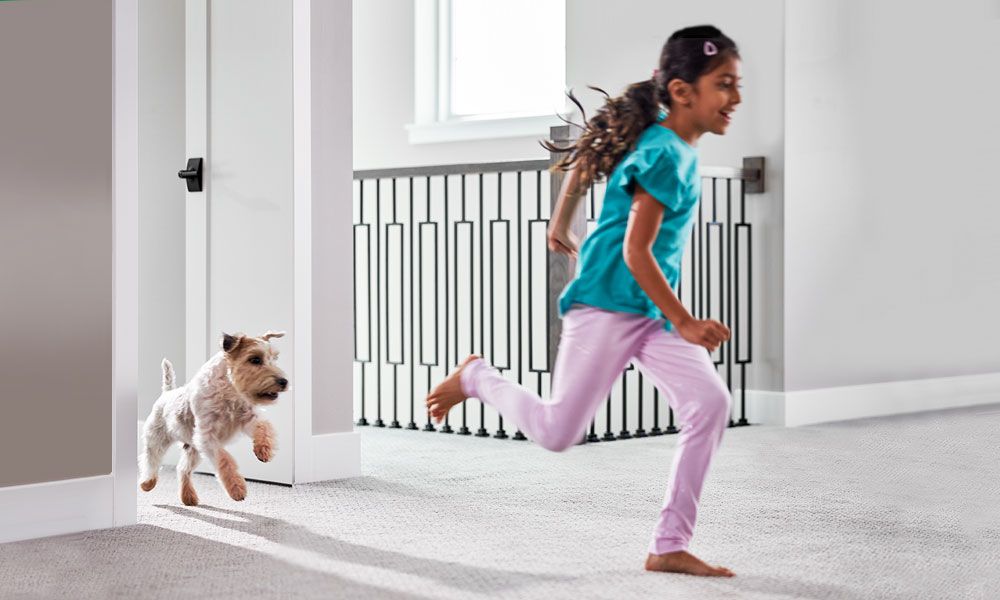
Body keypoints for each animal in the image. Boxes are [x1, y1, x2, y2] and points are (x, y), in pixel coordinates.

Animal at [137, 330, 288, 504]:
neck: (230, 390)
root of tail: (167, 393)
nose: (284, 381)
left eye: (275, 358)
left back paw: (188, 497)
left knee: (182, 469)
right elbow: (225, 460)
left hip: (193, 449)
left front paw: (264, 450)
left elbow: (264, 427)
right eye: (255, 359)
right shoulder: (207, 436)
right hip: (157, 440)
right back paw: (147, 483)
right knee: (150, 461)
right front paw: (237, 489)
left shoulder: (248, 418)